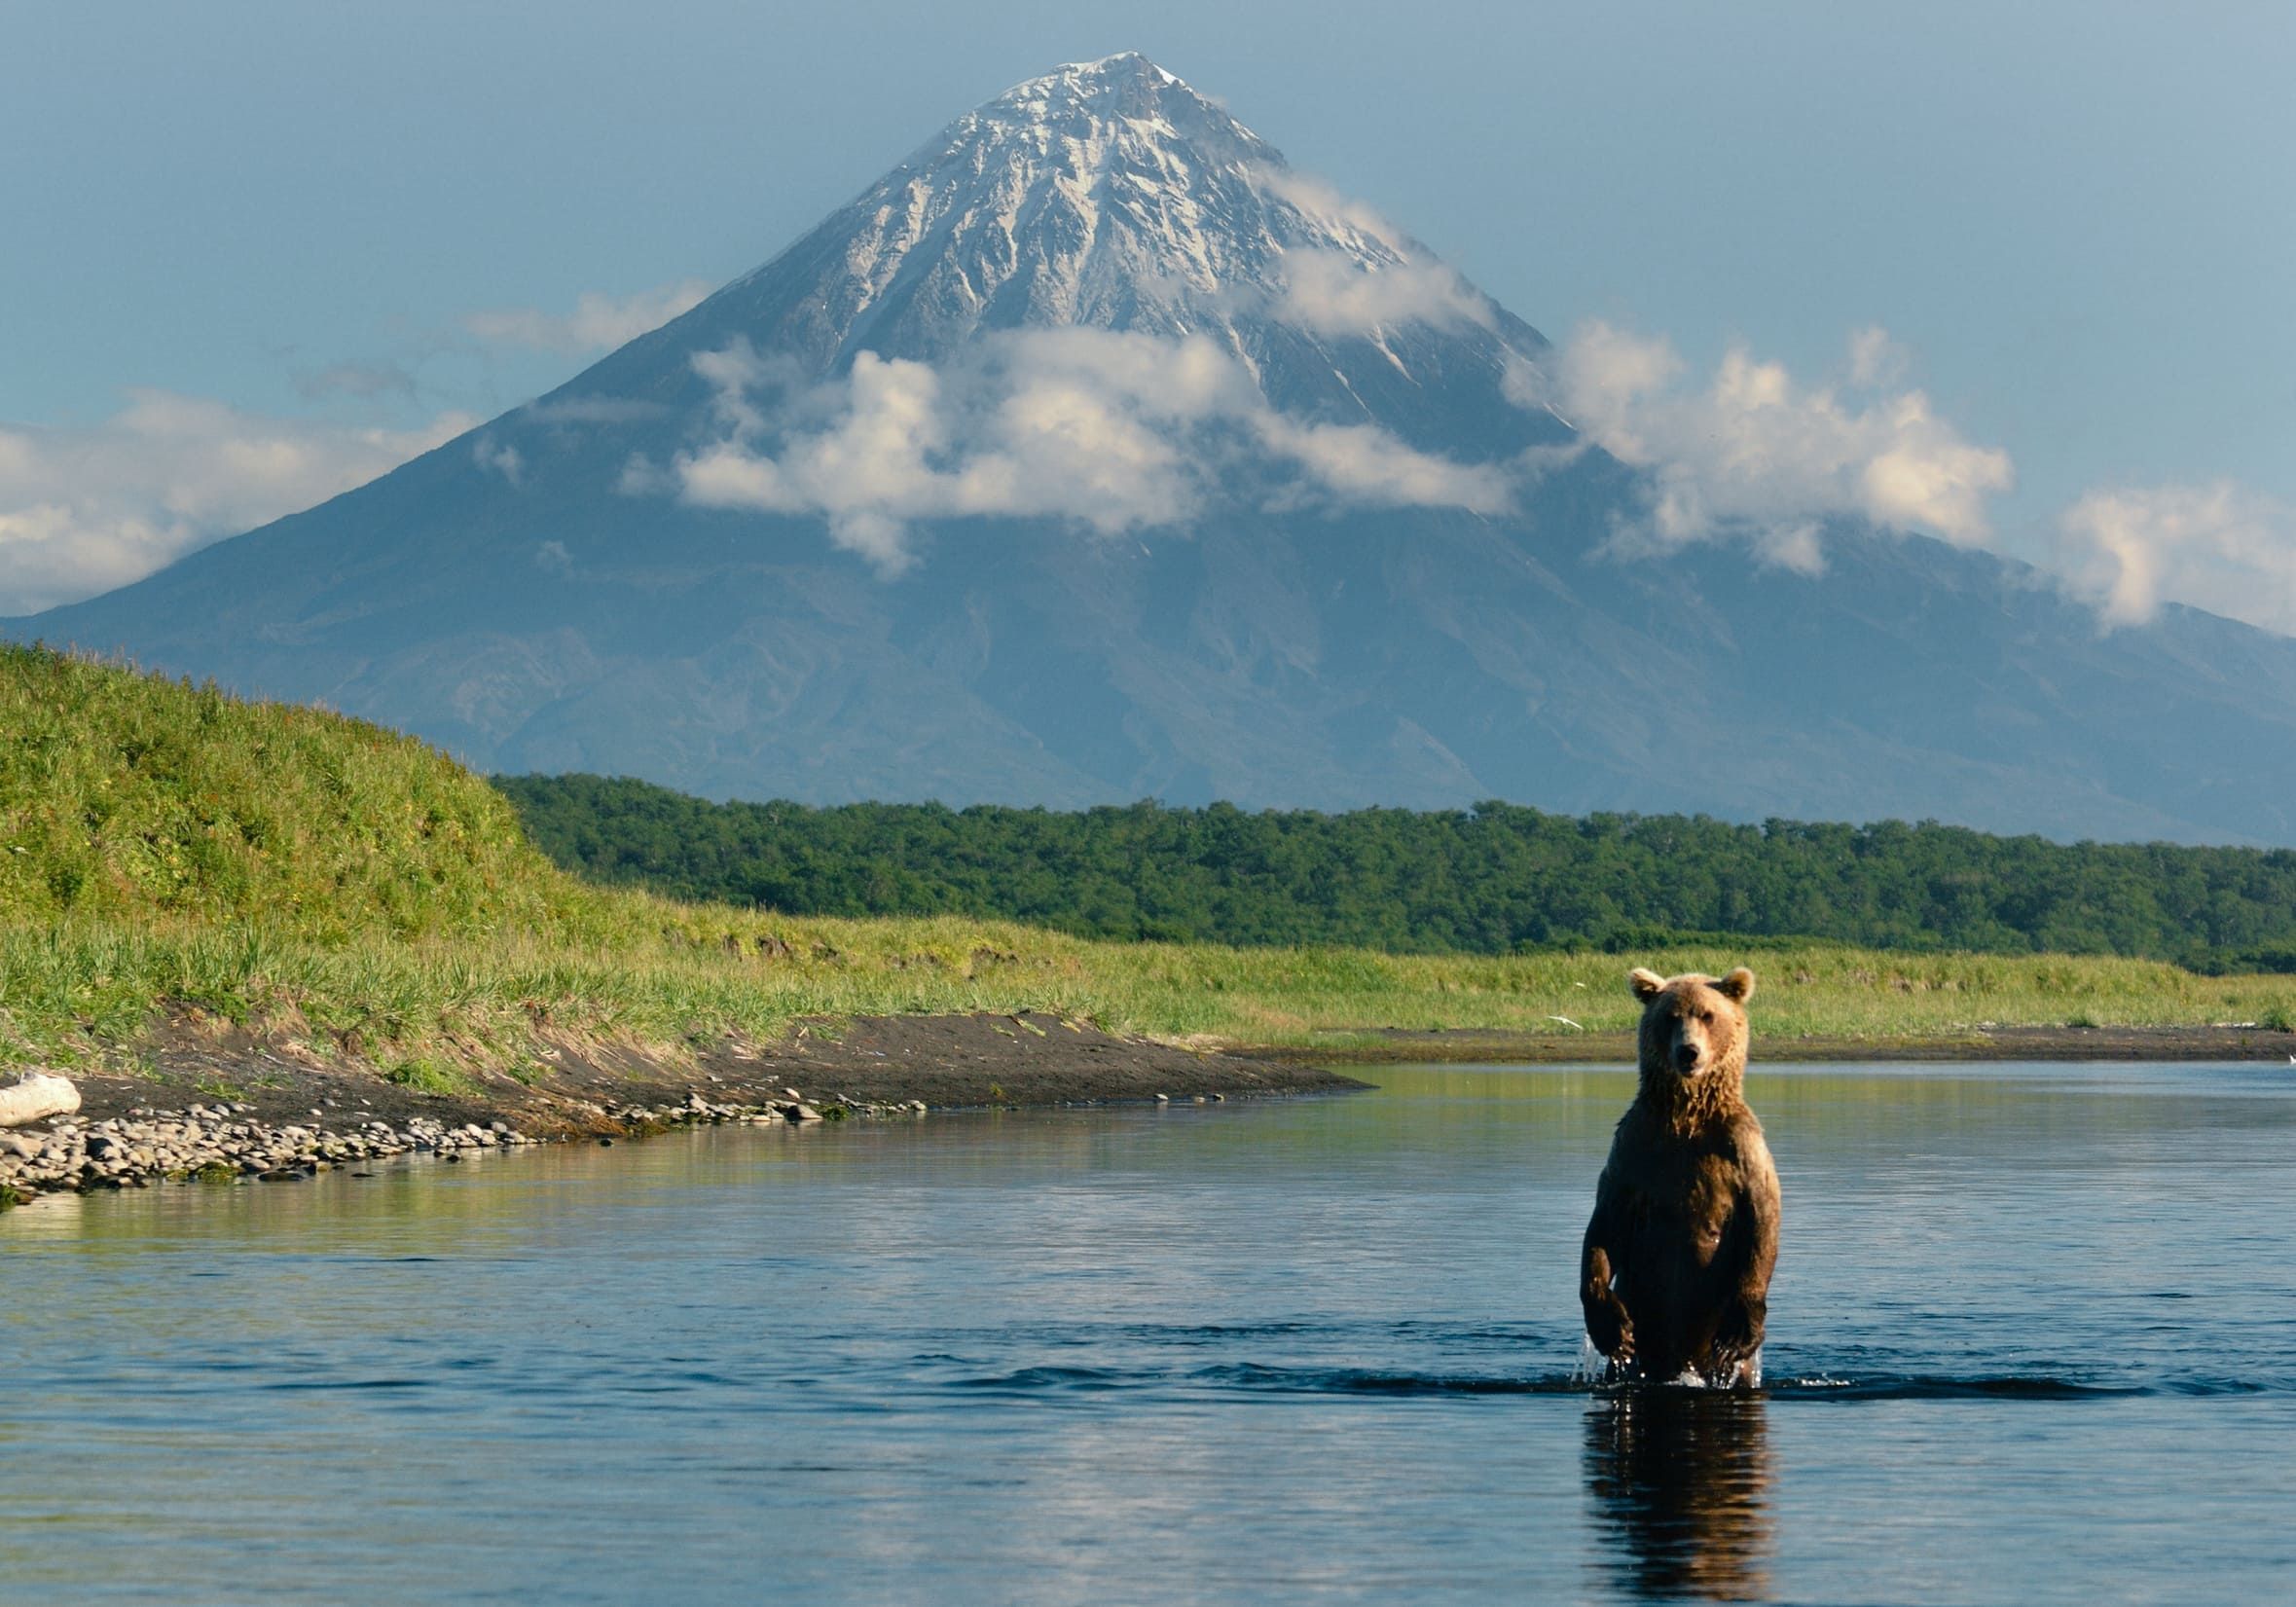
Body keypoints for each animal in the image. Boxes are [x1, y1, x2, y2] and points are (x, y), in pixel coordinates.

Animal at [1588, 959, 1781, 1386]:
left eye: (1708, 1015)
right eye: (1670, 1017)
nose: (1688, 1052)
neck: (1686, 1116)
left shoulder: (1740, 1150)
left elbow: (1762, 1220)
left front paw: (1741, 1329)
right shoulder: (1635, 1148)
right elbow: (1605, 1225)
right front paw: (1610, 1326)